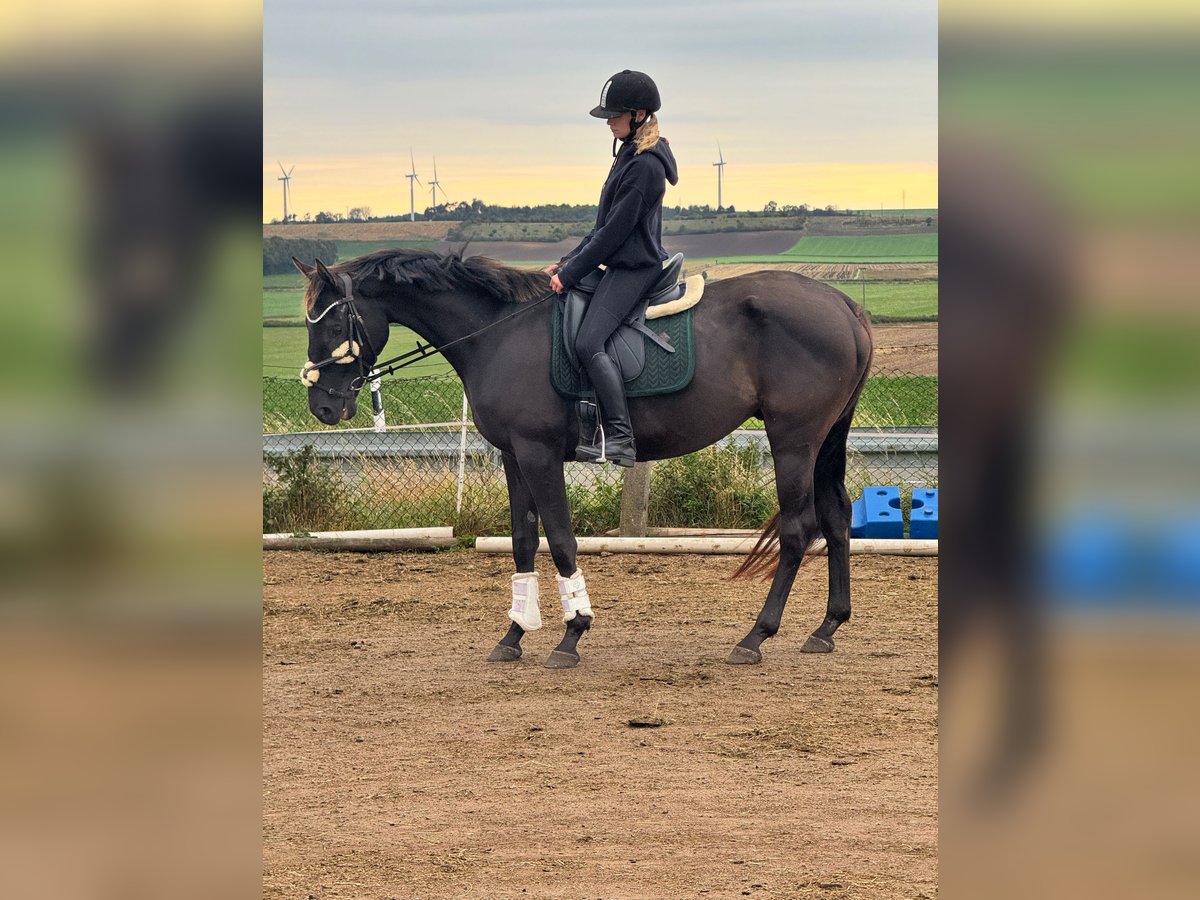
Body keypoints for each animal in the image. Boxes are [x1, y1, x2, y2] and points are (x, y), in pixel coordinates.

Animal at [294, 249, 874, 669]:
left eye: (331, 324)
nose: (322, 405)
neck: (498, 333)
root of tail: (844, 305)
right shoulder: (513, 456)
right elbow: (523, 541)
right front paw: (514, 634)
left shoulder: (539, 453)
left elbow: (561, 539)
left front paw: (572, 633)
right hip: (825, 440)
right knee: (837, 518)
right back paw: (827, 628)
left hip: (793, 438)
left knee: (799, 528)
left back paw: (755, 636)